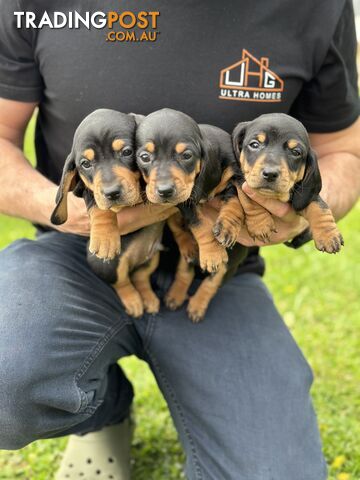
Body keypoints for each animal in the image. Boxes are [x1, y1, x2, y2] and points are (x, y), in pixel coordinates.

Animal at [50, 110, 162, 316]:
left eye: (127, 152)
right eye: (85, 164)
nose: (112, 193)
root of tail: (134, 262)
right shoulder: (86, 190)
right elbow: (99, 206)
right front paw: (105, 238)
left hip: (153, 258)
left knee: (141, 277)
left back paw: (148, 298)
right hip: (108, 266)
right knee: (122, 282)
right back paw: (134, 302)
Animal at [231, 114, 344, 253]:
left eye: (296, 152)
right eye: (254, 144)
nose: (270, 174)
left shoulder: (305, 195)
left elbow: (318, 205)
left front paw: (328, 234)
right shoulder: (240, 179)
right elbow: (248, 198)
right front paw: (261, 224)